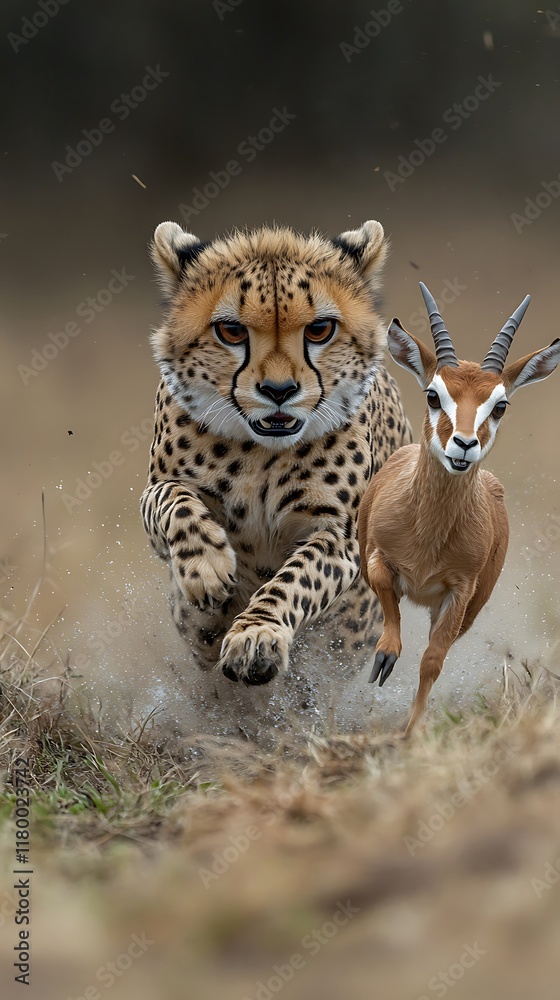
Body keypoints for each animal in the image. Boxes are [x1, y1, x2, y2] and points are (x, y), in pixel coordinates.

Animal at [140, 218, 412, 691]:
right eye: (231, 331)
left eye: (320, 330)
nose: (279, 391)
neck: (260, 452)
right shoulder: (158, 496)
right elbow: (172, 500)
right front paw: (207, 566)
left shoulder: (338, 538)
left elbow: (293, 581)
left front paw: (256, 636)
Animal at [358, 282, 560, 735]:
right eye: (434, 394)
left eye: (499, 405)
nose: (464, 445)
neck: (427, 535)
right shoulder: (378, 560)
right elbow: (388, 613)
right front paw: (384, 658)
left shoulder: (459, 592)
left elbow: (432, 661)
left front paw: (411, 732)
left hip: (466, 609)